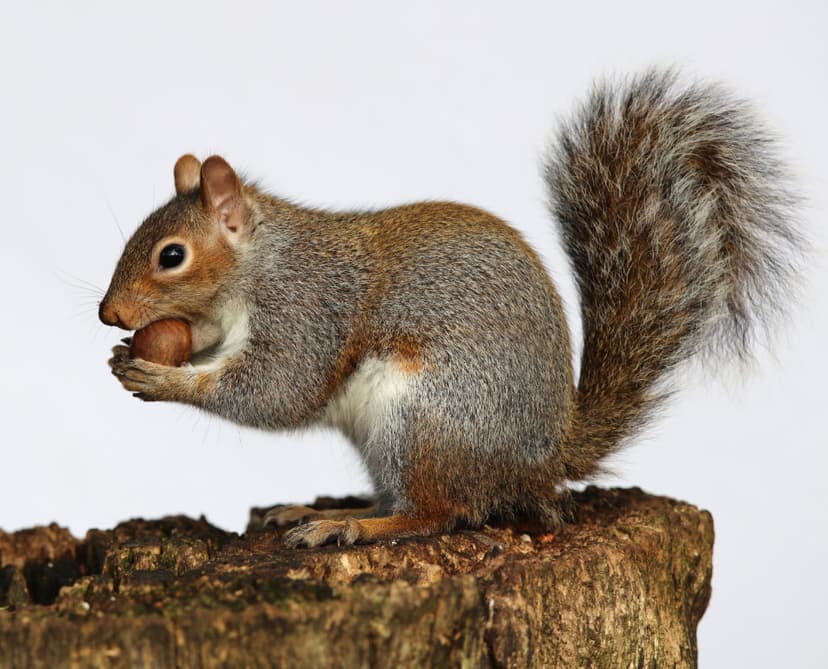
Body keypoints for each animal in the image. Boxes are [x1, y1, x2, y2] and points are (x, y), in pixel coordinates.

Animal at [100, 70, 802, 548]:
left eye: (171, 255)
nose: (110, 314)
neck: (257, 268)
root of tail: (544, 459)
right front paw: (138, 354)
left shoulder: (308, 309)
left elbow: (277, 390)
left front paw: (160, 377)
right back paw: (332, 512)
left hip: (426, 417)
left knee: (434, 513)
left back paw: (351, 528)